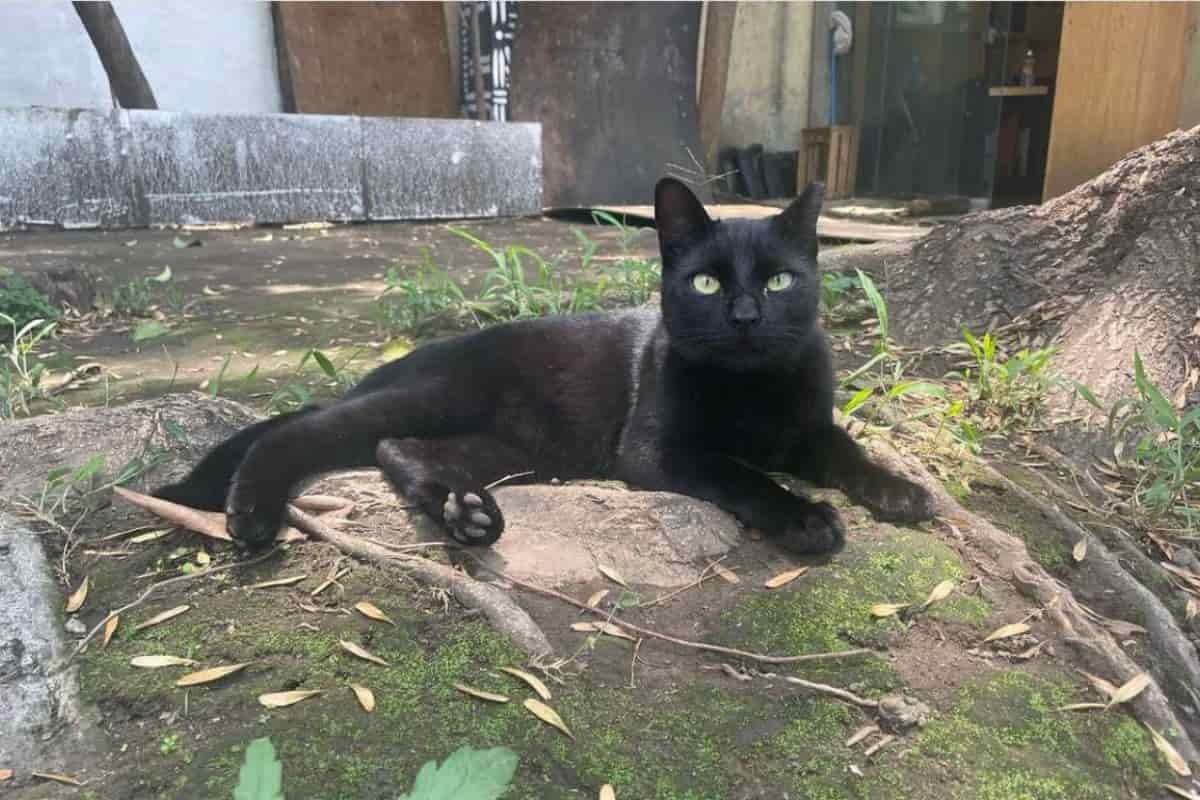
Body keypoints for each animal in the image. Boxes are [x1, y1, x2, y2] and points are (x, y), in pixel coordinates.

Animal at [152, 181, 936, 556]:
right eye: (707, 283)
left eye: (778, 281)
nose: (745, 317)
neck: (751, 392)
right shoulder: (655, 451)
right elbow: (740, 473)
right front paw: (805, 517)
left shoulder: (806, 429)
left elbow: (846, 450)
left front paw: (901, 493)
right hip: (435, 397)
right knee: (300, 433)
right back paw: (252, 513)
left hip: (511, 448)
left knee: (394, 448)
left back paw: (466, 513)